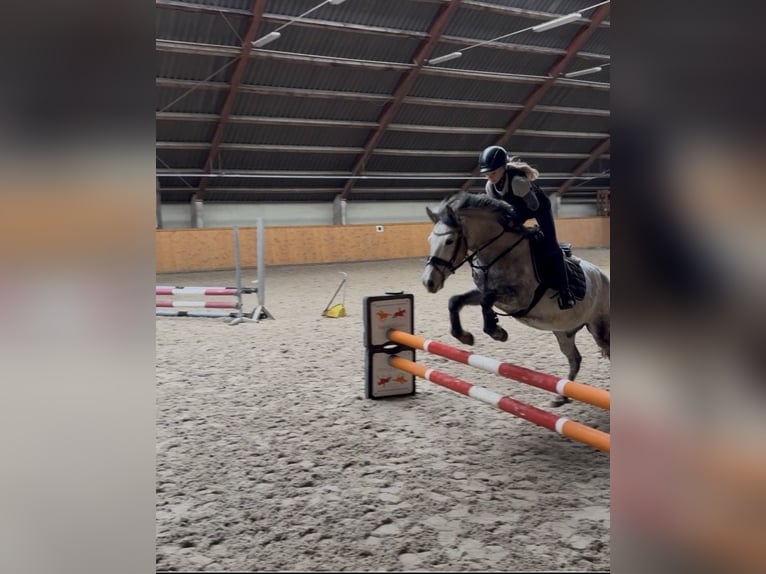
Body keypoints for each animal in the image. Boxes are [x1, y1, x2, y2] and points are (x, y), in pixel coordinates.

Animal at [421, 192, 610, 406]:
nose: (428, 282)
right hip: (564, 331)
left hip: (599, 328)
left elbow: (486, 301)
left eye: (449, 241)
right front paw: (465, 336)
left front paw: (496, 332)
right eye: (430, 240)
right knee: (575, 359)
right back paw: (560, 397)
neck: (499, 253)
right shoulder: (485, 292)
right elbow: (456, 301)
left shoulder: (520, 298)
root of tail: (604, 277)